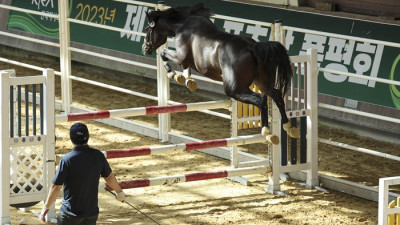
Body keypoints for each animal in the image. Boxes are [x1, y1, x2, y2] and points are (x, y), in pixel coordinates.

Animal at [142, 3, 298, 140]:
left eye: (147, 29)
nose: (145, 48)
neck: (182, 25)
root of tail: (252, 47)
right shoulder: (187, 62)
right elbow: (184, 69)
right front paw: (188, 81)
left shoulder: (181, 58)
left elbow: (163, 54)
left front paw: (173, 74)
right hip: (261, 83)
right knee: (276, 95)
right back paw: (289, 127)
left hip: (234, 89)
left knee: (260, 99)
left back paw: (266, 130)